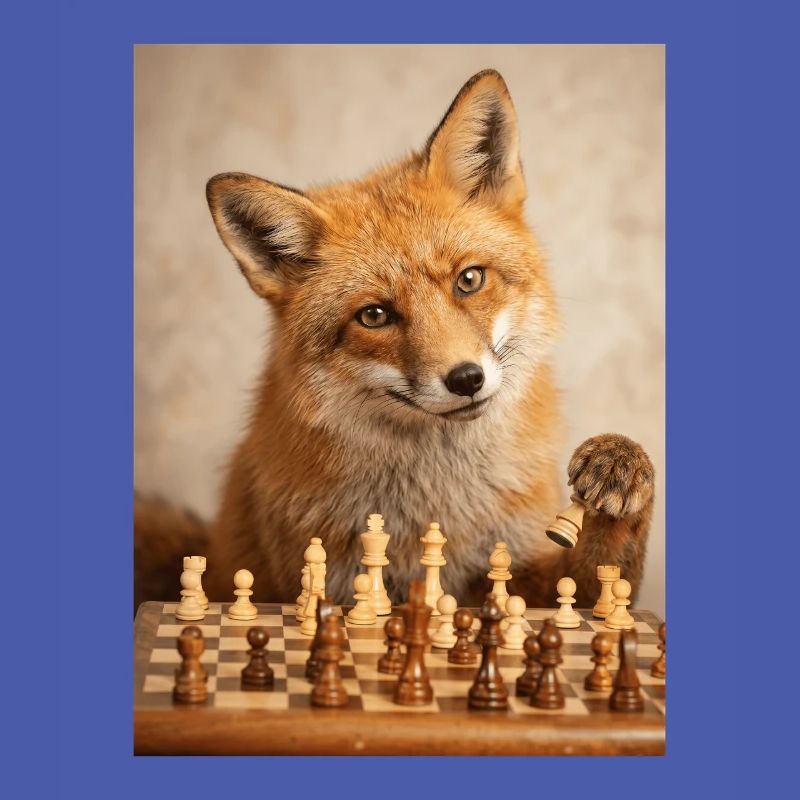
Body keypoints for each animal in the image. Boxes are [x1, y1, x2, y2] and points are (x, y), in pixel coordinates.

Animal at [134, 69, 654, 611]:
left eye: (469, 280)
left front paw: (620, 465)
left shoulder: (519, 574)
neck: (436, 505)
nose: (466, 379)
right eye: (375, 315)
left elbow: (602, 581)